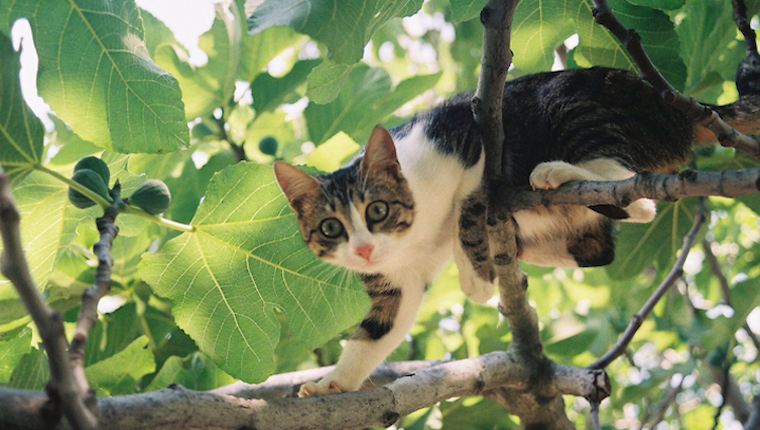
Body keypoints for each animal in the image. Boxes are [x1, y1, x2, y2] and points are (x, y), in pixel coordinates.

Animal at [272, 66, 760, 396]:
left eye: (376, 209)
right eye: (331, 228)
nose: (364, 250)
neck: (413, 236)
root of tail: (679, 106)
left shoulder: (469, 136)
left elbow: (466, 203)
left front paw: (475, 275)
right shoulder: (397, 280)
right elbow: (380, 330)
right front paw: (334, 382)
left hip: (573, 107)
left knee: (637, 198)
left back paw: (553, 175)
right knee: (600, 246)